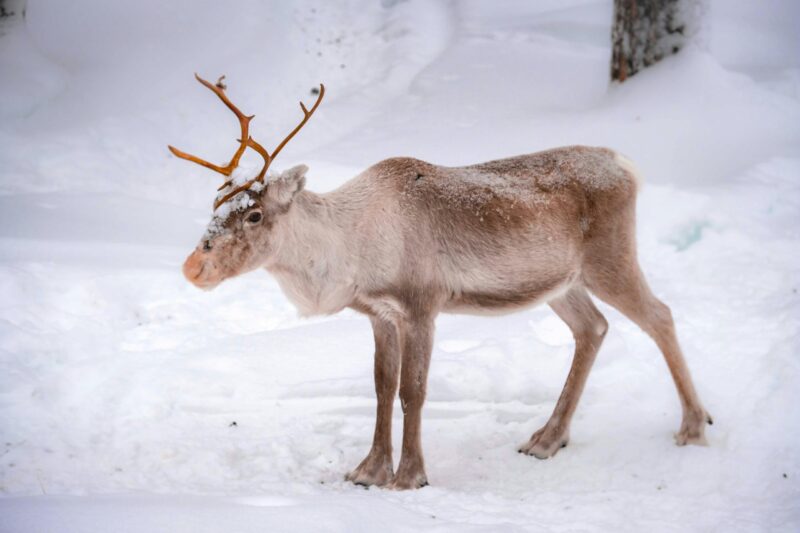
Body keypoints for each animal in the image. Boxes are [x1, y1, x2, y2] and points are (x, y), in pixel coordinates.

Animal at [171, 74, 712, 490]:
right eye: (215, 205)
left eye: (255, 214)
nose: (193, 267)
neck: (347, 249)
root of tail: (626, 165)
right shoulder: (379, 313)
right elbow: (381, 387)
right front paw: (367, 471)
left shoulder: (421, 304)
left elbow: (413, 390)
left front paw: (409, 476)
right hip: (563, 283)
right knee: (593, 328)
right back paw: (546, 439)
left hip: (609, 258)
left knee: (659, 315)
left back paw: (693, 427)